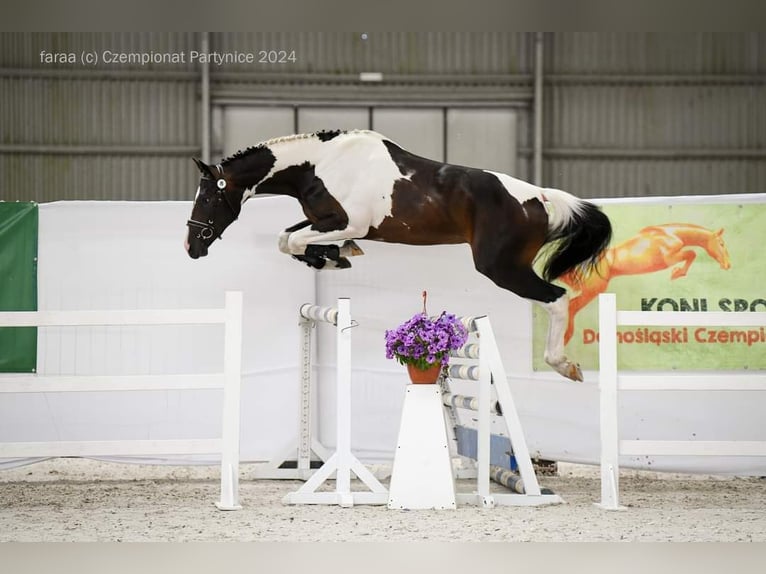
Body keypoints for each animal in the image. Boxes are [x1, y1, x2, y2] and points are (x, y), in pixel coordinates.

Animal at [186, 130, 612, 382]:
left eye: (207, 198)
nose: (192, 247)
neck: (319, 164)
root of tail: (539, 196)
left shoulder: (348, 222)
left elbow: (292, 242)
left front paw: (333, 255)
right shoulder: (325, 220)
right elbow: (285, 238)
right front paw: (331, 256)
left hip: (501, 267)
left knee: (557, 299)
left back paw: (564, 365)